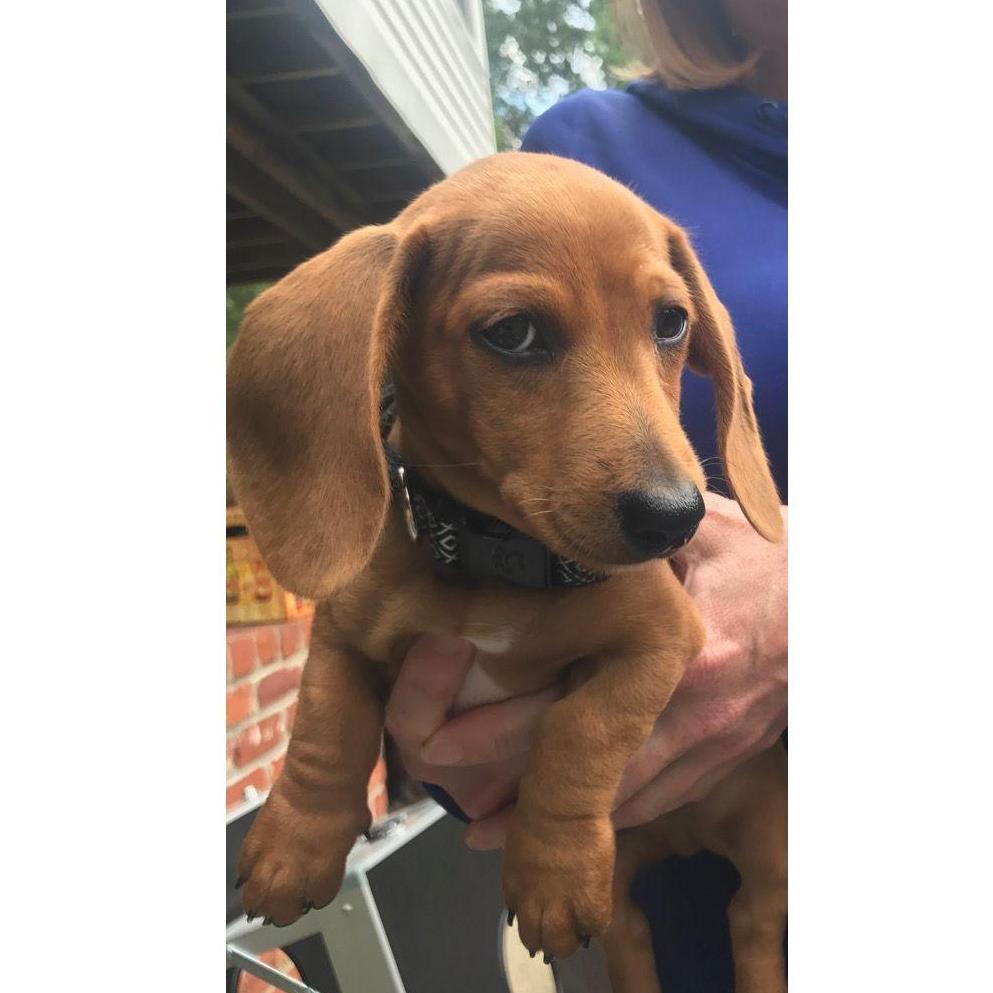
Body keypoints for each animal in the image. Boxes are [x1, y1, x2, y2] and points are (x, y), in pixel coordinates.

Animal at [227, 151, 787, 993]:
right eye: (514, 333)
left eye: (670, 321)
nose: (673, 519)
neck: (494, 558)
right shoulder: (341, 634)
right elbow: (325, 724)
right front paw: (296, 843)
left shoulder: (665, 638)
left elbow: (583, 725)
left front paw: (551, 870)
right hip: (626, 907)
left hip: (768, 868)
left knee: (750, 924)